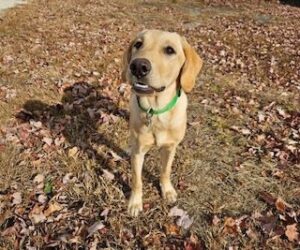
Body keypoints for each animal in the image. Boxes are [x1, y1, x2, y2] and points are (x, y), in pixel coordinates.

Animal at [120, 29, 203, 216]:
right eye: (138, 44)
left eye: (170, 50)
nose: (138, 66)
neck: (156, 111)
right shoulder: (139, 152)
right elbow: (137, 180)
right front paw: (135, 202)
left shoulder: (170, 147)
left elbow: (165, 171)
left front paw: (167, 190)